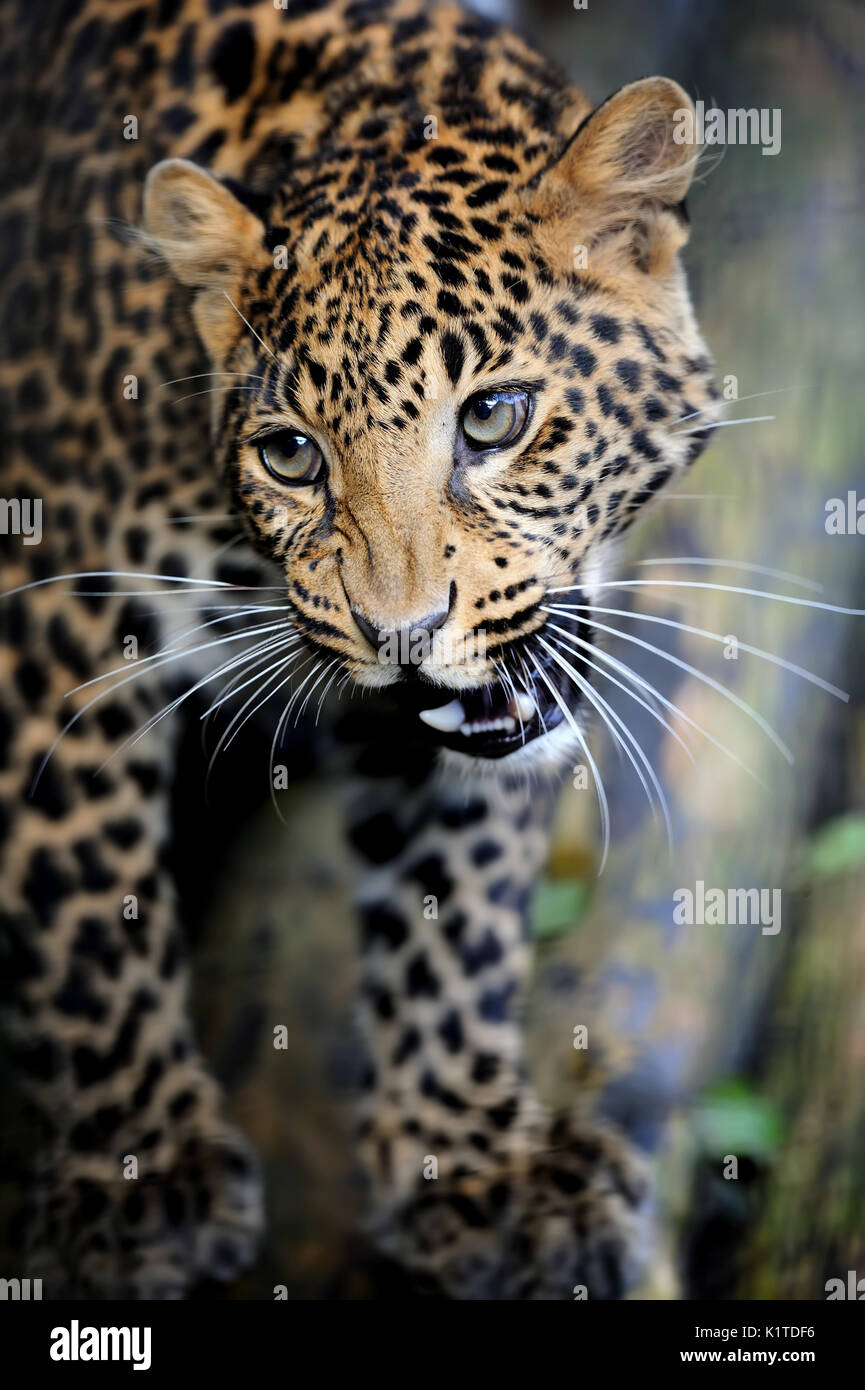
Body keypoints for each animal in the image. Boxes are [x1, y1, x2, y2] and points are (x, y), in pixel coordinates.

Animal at [0, 0, 717, 1301]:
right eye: (290, 455)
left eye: (493, 418)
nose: (403, 633)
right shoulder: (47, 604)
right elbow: (81, 896)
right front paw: (143, 1177)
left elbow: (458, 903)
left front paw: (474, 1162)